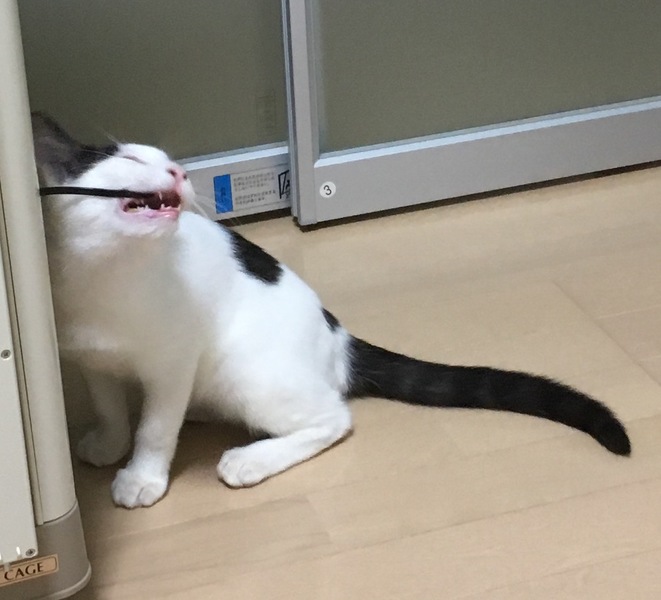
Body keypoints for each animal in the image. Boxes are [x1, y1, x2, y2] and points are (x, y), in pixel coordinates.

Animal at [31, 113, 631, 509]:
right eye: (132, 161)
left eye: (169, 163)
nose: (180, 172)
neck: (107, 279)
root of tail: (336, 334)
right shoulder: (90, 358)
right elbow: (109, 404)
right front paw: (110, 442)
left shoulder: (173, 362)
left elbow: (156, 427)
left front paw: (142, 476)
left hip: (246, 373)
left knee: (333, 418)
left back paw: (250, 458)